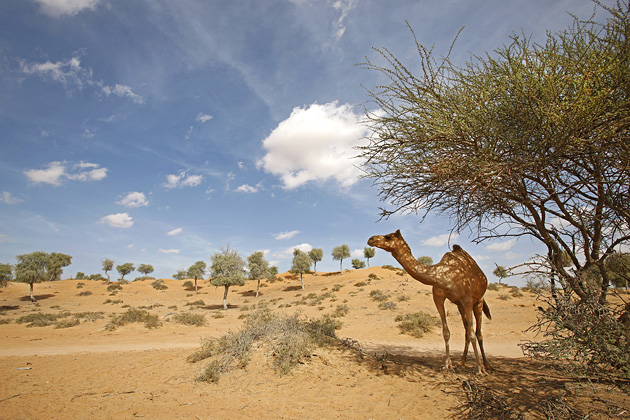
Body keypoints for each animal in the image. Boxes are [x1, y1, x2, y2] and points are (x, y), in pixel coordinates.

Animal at [370, 230, 494, 374]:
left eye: (388, 236)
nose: (371, 239)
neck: (444, 276)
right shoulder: (438, 298)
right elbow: (446, 333)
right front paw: (447, 365)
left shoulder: (467, 299)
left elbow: (473, 334)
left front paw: (479, 369)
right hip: (460, 306)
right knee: (466, 331)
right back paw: (462, 362)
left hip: (478, 301)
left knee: (478, 332)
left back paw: (486, 365)